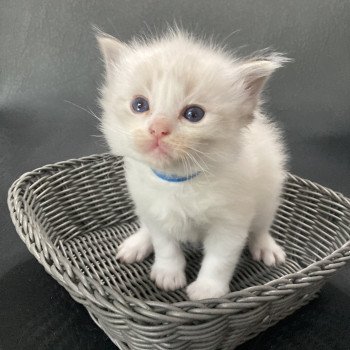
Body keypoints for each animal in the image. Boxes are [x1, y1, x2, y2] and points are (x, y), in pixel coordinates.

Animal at [96, 28, 288, 300]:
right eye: (139, 105)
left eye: (194, 114)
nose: (158, 129)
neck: (178, 181)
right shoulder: (154, 209)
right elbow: (165, 244)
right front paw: (168, 274)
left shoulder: (230, 222)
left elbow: (220, 259)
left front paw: (208, 289)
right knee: (146, 225)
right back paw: (137, 243)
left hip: (268, 193)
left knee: (261, 227)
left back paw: (265, 247)